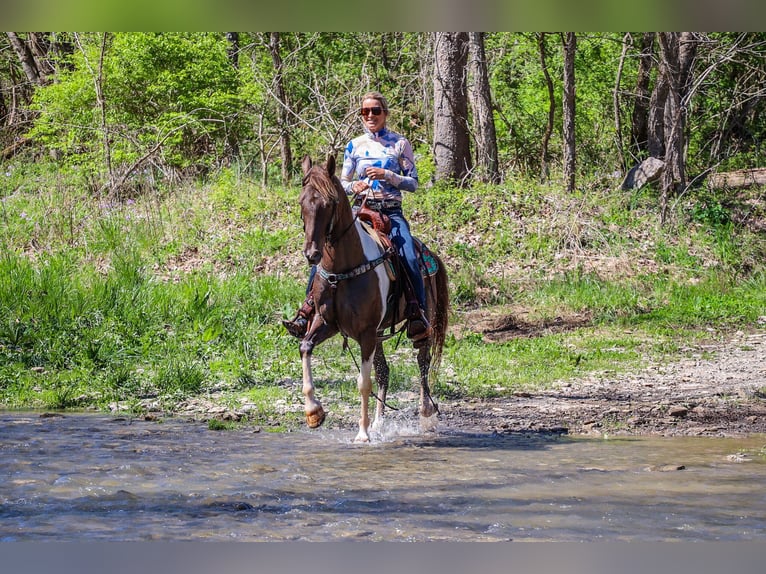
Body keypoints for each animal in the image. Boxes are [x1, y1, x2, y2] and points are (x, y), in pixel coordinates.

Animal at [294, 155, 450, 444]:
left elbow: (363, 383)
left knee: (422, 362)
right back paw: (379, 423)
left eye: (329, 203)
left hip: (418, 326)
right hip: (378, 334)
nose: (312, 254)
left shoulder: (365, 332)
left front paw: (363, 434)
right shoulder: (326, 323)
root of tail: (429, 252)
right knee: (384, 371)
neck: (343, 268)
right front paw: (313, 412)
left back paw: (425, 414)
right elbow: (305, 348)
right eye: (302, 202)